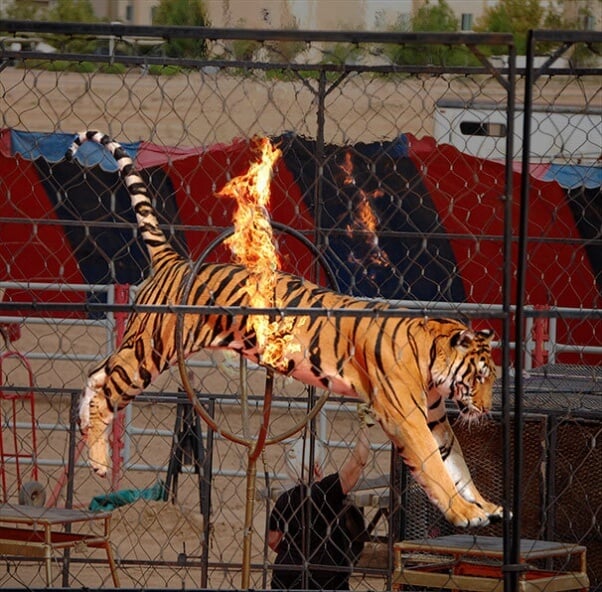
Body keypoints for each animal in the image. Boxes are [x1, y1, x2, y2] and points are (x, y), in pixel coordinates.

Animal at [65, 131, 502, 528]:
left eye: (491, 378)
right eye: (479, 376)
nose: (486, 409)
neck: (433, 362)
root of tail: (175, 260)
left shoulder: (435, 417)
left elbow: (457, 464)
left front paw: (485, 506)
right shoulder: (407, 417)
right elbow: (436, 469)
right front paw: (464, 514)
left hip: (139, 345)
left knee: (96, 374)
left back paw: (87, 431)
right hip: (152, 350)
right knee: (108, 387)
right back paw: (99, 462)